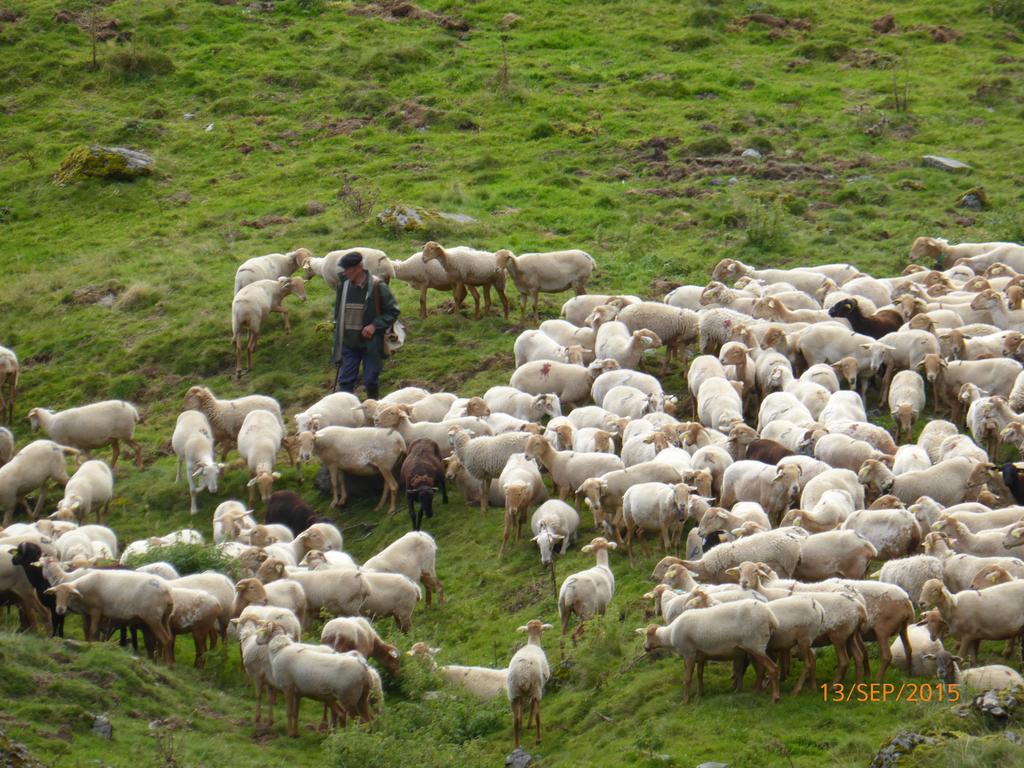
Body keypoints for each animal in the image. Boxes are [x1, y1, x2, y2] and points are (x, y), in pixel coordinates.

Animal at [505, 618, 552, 753]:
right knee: (537, 715)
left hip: (513, 692)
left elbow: (522, 707)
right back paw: (538, 739)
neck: (533, 644)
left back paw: (516, 746)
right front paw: (529, 724)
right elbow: (531, 707)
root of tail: (523, 673)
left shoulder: (520, 695)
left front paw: (522, 724)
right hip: (536, 688)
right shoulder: (538, 688)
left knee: (514, 721)